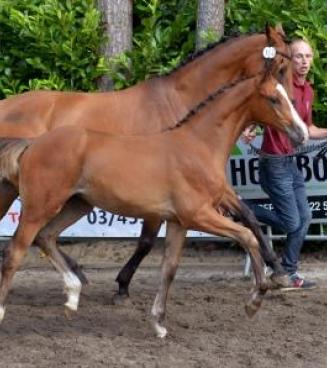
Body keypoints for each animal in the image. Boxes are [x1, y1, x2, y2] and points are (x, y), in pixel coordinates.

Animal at [0, 25, 294, 296]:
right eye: (280, 66)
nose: (294, 110)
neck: (179, 102)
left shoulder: (210, 189)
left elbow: (248, 216)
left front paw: (278, 269)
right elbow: (147, 241)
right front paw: (122, 284)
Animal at [0, 67, 310, 338]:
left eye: (290, 97)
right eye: (273, 98)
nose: (302, 134)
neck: (198, 144)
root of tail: (32, 143)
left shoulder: (178, 222)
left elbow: (169, 269)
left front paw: (159, 323)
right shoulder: (198, 214)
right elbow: (247, 235)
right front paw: (255, 300)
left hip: (77, 204)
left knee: (46, 236)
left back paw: (73, 294)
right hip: (39, 206)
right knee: (16, 251)